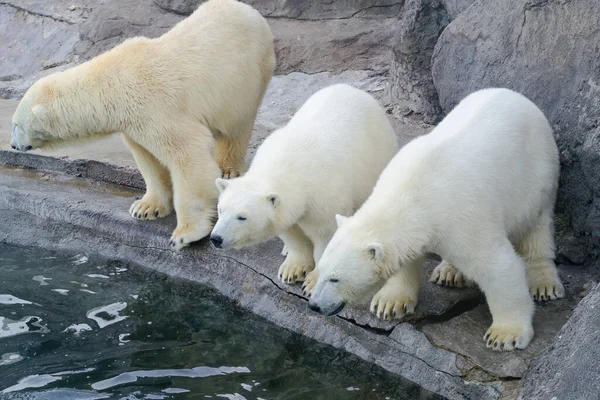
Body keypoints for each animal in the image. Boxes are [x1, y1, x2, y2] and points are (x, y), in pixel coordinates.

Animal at [9, 0, 276, 250]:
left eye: (15, 125)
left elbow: (188, 153)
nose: (12, 145)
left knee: (236, 126)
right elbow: (148, 158)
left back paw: (229, 168)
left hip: (246, 77)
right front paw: (145, 208)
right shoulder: (135, 121)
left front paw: (185, 234)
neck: (112, 84)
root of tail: (249, 10)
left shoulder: (155, 105)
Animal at [210, 83, 398, 284]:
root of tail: (351, 88)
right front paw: (292, 269)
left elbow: (326, 234)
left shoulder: (325, 196)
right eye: (221, 210)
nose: (216, 238)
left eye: (242, 217)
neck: (288, 164)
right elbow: (291, 232)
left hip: (377, 155)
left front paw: (312, 280)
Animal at [308, 88, 564, 354]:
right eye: (321, 269)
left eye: (335, 278)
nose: (314, 305)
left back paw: (543, 282)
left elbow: (498, 266)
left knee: (537, 229)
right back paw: (449, 271)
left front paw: (505, 335)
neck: (413, 193)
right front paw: (390, 302)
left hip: (536, 176)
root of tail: (515, 95)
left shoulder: (464, 215)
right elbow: (405, 258)